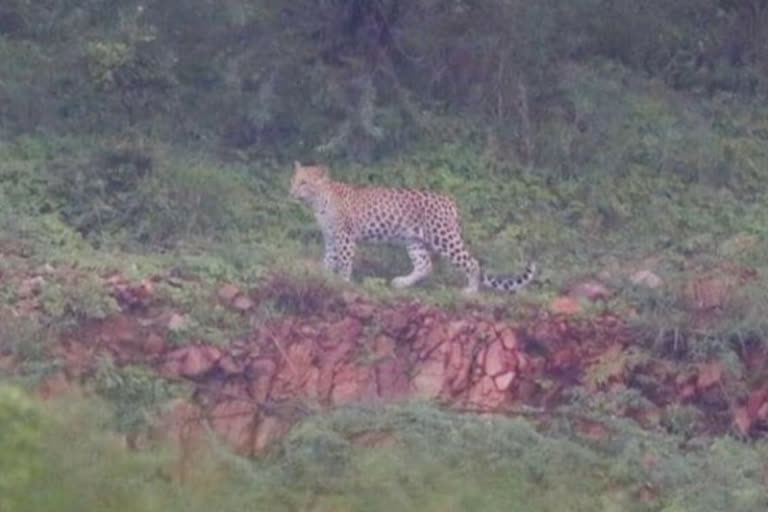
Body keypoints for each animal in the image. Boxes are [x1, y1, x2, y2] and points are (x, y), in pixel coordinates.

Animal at [292, 162, 536, 294]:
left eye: (304, 182)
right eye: (293, 180)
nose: (291, 192)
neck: (318, 202)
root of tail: (450, 201)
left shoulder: (344, 237)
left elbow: (343, 262)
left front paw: (342, 282)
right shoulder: (331, 238)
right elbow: (328, 260)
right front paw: (323, 279)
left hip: (443, 236)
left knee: (471, 262)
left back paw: (470, 290)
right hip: (414, 240)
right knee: (425, 265)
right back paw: (401, 283)